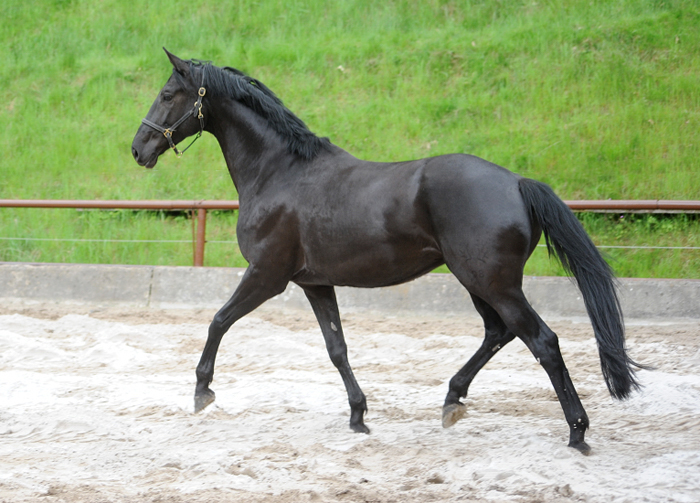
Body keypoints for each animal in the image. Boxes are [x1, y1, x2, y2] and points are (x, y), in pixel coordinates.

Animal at [131, 49, 640, 454]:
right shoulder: (315, 283)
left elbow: (218, 320)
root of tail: (516, 182)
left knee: (543, 342)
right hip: (478, 282)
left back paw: (577, 432)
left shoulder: (266, 275)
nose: (138, 149)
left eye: (168, 94)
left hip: (490, 281)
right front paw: (358, 416)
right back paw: (452, 402)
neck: (280, 172)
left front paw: (202, 392)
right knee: (499, 332)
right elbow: (337, 348)